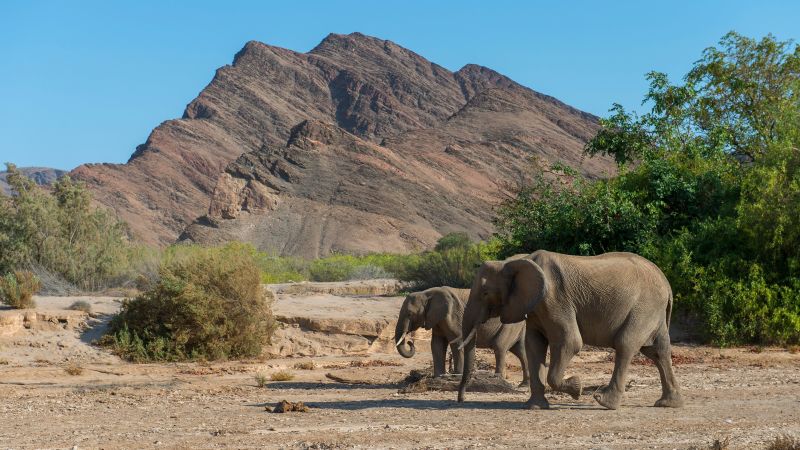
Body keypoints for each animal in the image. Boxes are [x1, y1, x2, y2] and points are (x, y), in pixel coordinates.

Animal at [396, 286, 532, 384]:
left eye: (409, 314)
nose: (410, 342)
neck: (426, 293)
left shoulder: (453, 315)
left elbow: (457, 341)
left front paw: (457, 375)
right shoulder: (437, 319)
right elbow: (437, 344)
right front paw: (438, 377)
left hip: (510, 324)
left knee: (499, 347)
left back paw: (498, 378)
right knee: (520, 351)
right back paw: (524, 385)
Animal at [460, 251, 684, 410]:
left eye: (485, 292)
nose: (461, 399)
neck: (516, 261)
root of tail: (666, 283)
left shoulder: (554, 300)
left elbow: (570, 342)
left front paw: (577, 388)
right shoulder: (535, 307)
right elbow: (534, 346)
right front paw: (534, 407)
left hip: (643, 308)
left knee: (625, 344)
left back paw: (604, 401)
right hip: (652, 312)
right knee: (658, 351)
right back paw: (667, 404)